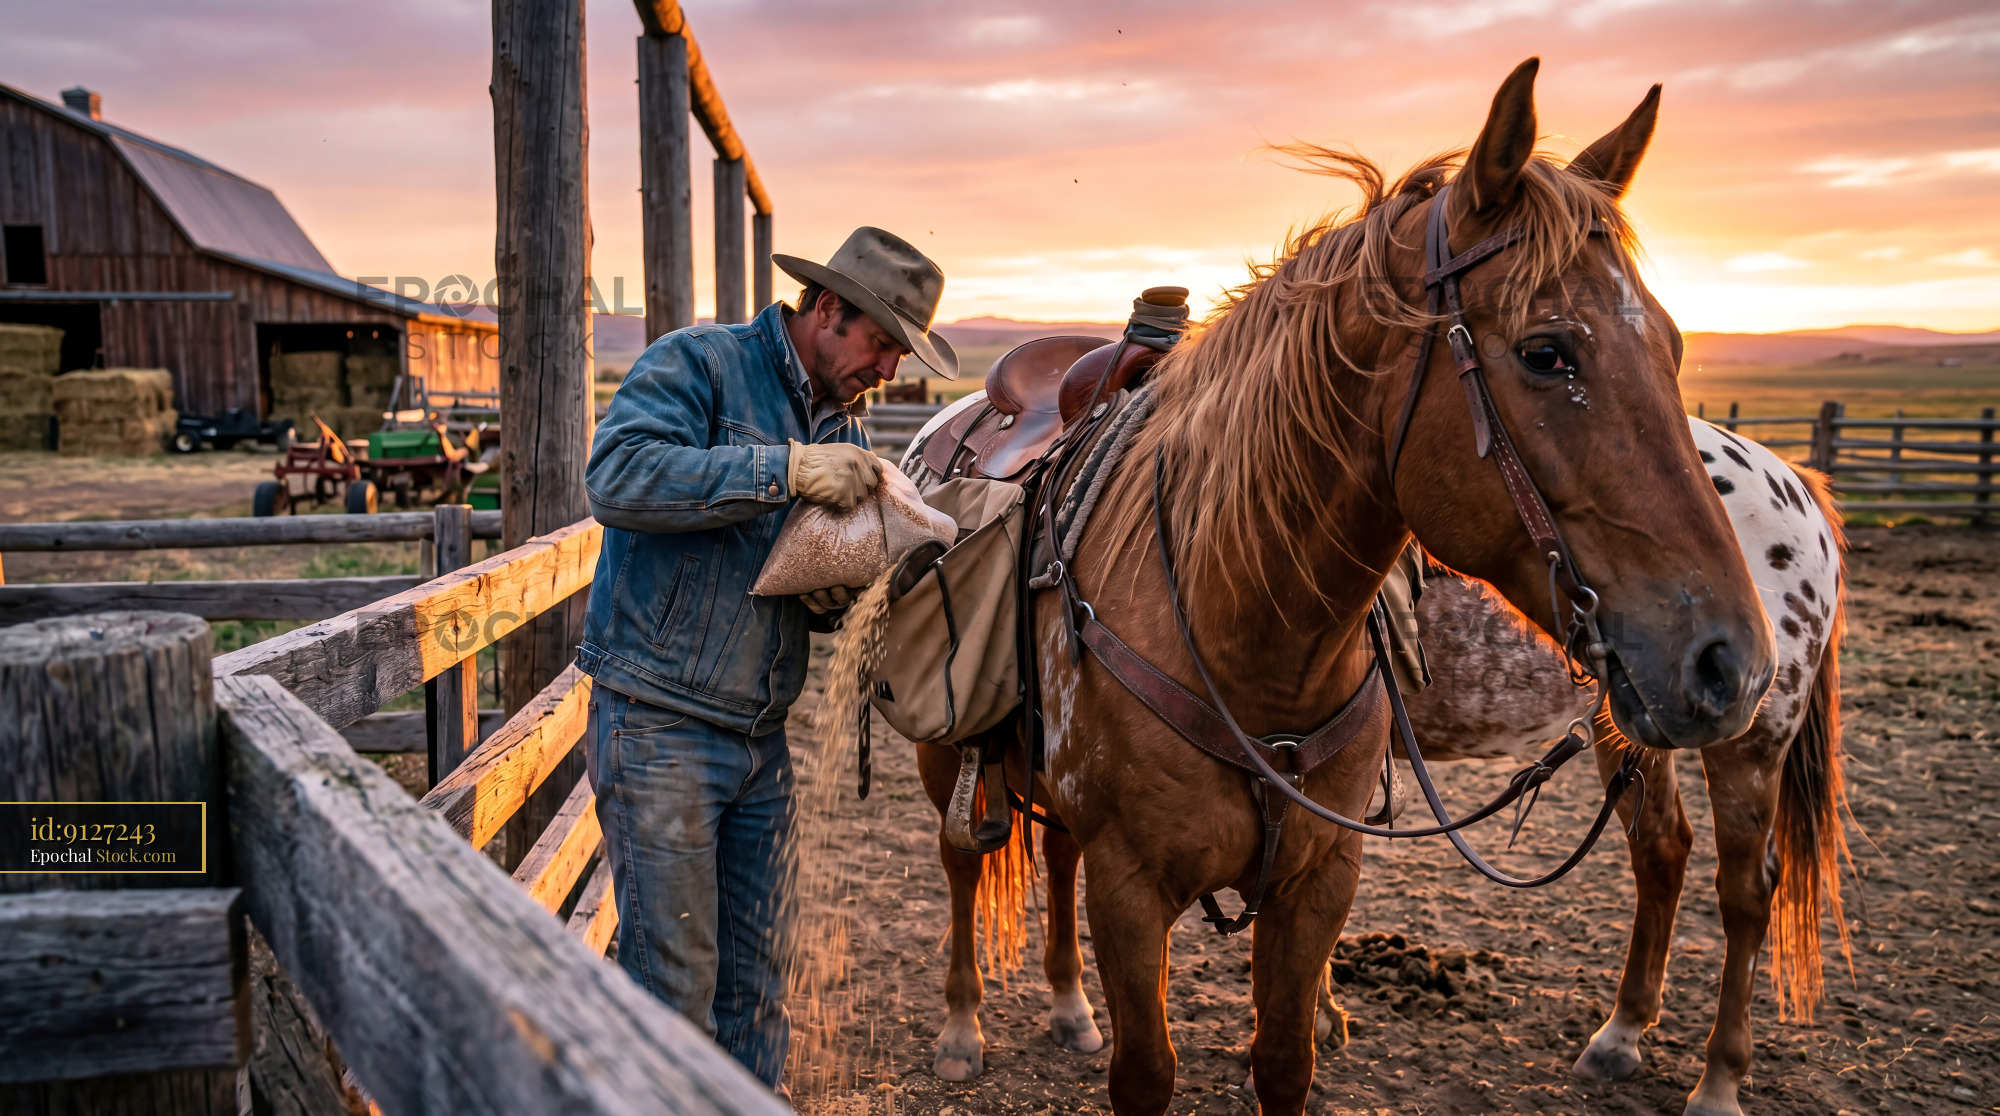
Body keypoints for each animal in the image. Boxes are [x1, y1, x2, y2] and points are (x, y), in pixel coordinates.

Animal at [1018, 59, 1777, 1116]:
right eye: (1548, 350)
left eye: (1672, 348)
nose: (1731, 662)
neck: (1241, 632)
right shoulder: (1127, 888)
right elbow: (1148, 1072)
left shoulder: (1318, 877)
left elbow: (1284, 1058)